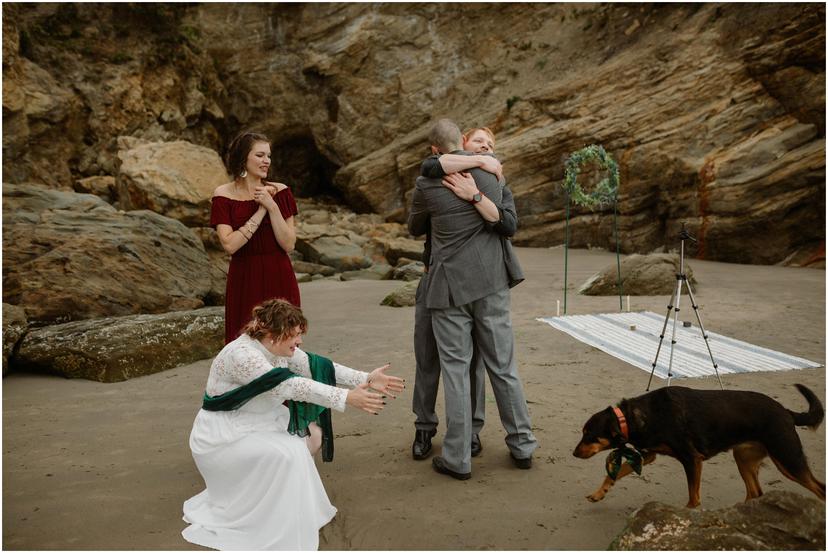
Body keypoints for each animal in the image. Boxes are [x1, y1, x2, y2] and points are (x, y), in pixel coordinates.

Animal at [572, 384, 824, 504]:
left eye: (589, 435)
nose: (574, 453)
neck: (632, 417)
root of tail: (786, 412)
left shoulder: (691, 459)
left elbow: (694, 499)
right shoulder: (647, 455)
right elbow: (615, 473)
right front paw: (599, 493)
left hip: (787, 458)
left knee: (820, 488)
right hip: (744, 457)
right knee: (755, 492)